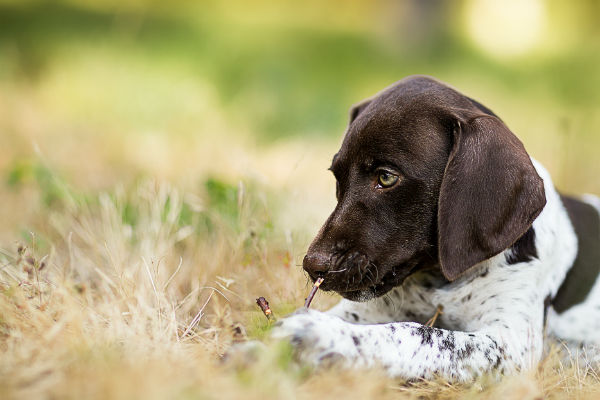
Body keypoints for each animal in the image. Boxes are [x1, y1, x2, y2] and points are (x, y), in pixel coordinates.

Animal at [274, 75, 600, 382]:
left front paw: (320, 333)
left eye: (387, 177)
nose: (313, 265)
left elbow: (417, 333)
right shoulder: (368, 309)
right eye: (337, 177)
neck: (438, 279)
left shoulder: (510, 345)